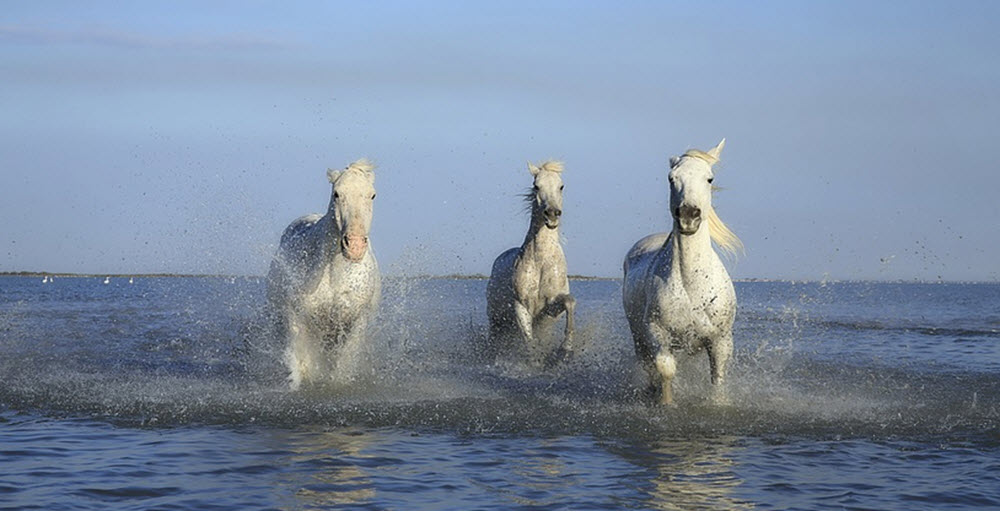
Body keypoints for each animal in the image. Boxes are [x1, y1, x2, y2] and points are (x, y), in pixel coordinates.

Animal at [268, 158, 380, 390]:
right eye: (336, 193)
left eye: (372, 195)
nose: (354, 246)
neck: (334, 274)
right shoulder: (298, 317)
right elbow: (302, 363)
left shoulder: (356, 321)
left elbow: (343, 363)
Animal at [486, 162, 576, 366]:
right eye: (536, 186)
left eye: (561, 186)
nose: (552, 214)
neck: (541, 261)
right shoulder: (521, 306)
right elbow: (529, 340)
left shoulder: (550, 308)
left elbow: (570, 302)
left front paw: (565, 350)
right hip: (496, 320)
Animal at [624, 140, 744, 404]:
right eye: (671, 178)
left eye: (709, 178)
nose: (688, 216)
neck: (693, 284)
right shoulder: (656, 332)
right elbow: (665, 369)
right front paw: (666, 403)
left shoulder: (721, 341)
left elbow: (717, 379)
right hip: (638, 337)